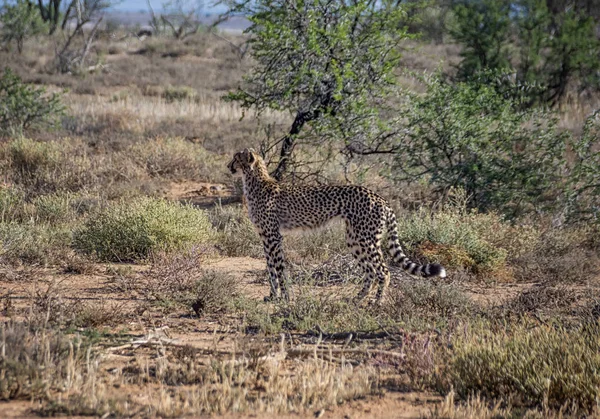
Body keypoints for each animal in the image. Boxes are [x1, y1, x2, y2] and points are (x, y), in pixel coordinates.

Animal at [227, 149, 448, 304]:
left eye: (236, 158)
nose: (228, 166)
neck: (255, 181)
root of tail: (380, 198)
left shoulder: (273, 236)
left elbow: (279, 268)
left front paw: (286, 298)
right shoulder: (265, 236)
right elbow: (270, 268)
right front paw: (273, 296)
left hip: (366, 239)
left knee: (383, 271)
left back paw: (377, 302)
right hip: (354, 239)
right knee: (370, 271)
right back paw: (357, 299)